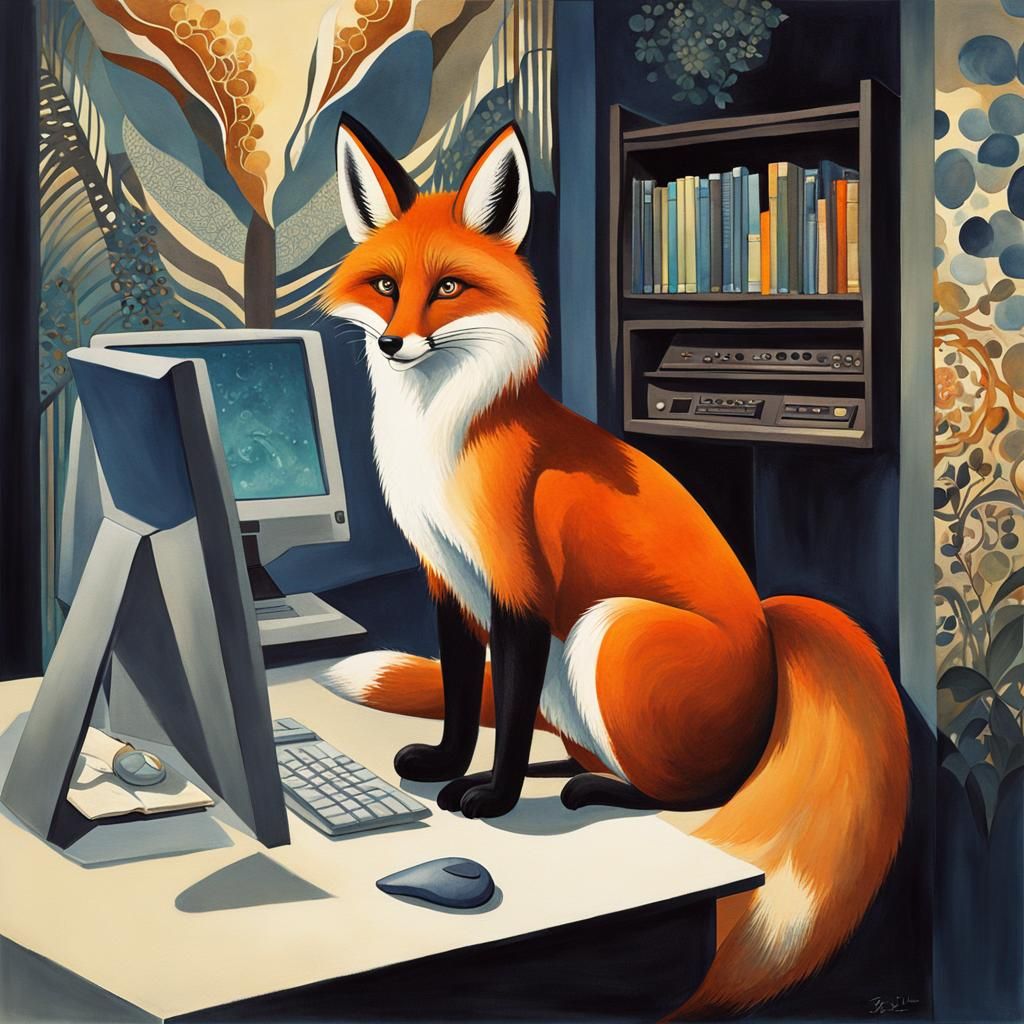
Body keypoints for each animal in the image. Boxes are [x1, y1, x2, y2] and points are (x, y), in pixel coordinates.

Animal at [318, 114, 910, 1017]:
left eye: (449, 289)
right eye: (386, 285)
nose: (392, 342)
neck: (445, 437)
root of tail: (772, 642)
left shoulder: (520, 589)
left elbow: (504, 712)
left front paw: (491, 798)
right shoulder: (448, 582)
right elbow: (460, 696)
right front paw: (450, 766)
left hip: (608, 628)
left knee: (697, 790)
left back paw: (595, 790)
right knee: (581, 740)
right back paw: (569, 765)